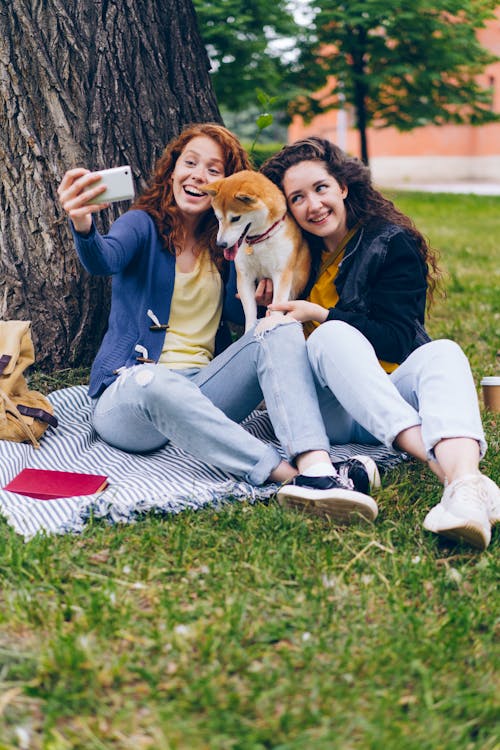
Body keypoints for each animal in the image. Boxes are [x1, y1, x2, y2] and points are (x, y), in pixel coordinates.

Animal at [201, 172, 310, 336]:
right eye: (218, 217)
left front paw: (270, 325)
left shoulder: (282, 274)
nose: (221, 244)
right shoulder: (245, 276)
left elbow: (277, 307)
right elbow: (250, 311)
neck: (258, 241)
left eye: (235, 218)